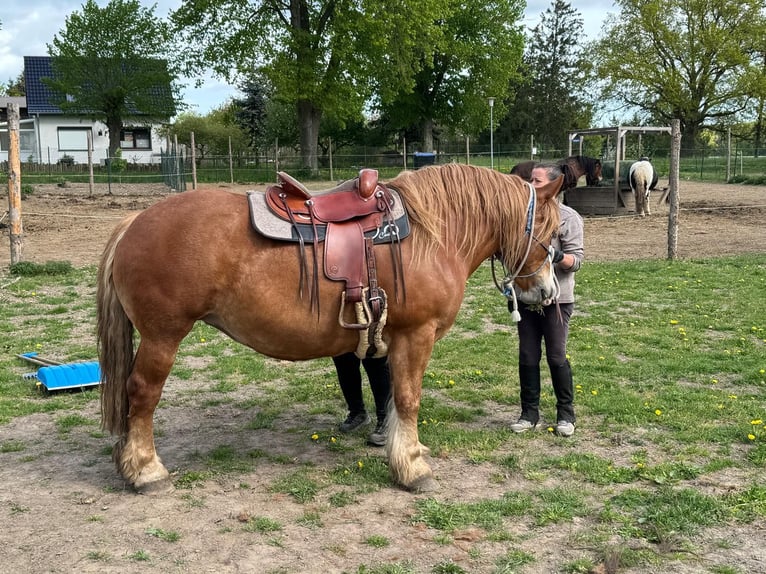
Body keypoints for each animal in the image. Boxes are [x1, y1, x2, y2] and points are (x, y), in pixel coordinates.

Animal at [96, 163, 562, 494]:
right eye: (551, 230)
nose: (546, 292)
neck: (433, 234)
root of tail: (134, 222)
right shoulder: (416, 335)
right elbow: (408, 399)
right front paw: (412, 467)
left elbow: (391, 398)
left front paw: (402, 450)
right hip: (162, 338)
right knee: (141, 395)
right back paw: (147, 471)